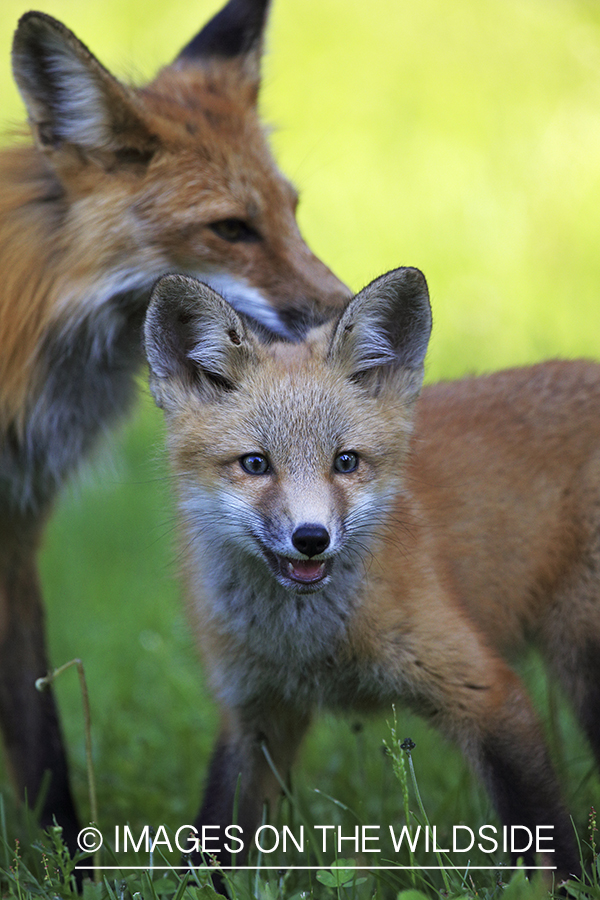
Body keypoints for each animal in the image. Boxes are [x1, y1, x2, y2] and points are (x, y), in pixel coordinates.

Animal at [0, 0, 349, 850]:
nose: (349, 311)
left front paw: (65, 862)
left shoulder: (19, 522)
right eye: (230, 228)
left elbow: (39, 732)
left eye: (292, 212)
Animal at [143, 266, 600, 884]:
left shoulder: (483, 688)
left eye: (346, 462)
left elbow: (543, 829)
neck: (311, 649)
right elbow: (216, 831)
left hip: (585, 658)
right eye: (255, 464)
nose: (311, 538)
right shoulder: (253, 713)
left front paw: (563, 887)